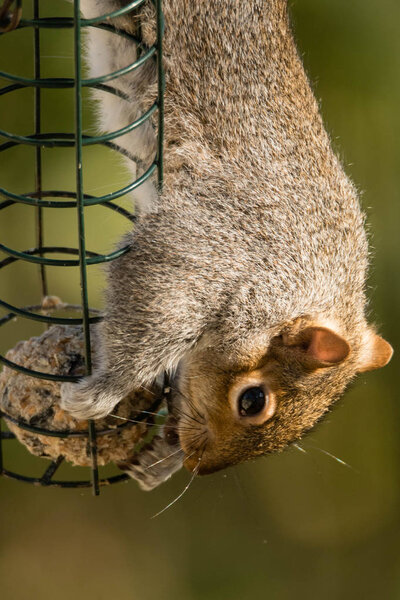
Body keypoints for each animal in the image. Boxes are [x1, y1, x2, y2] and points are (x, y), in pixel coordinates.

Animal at [60, 1, 394, 478]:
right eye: (252, 401)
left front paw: (159, 463)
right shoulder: (208, 250)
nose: (196, 466)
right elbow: (151, 314)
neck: (305, 276)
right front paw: (97, 396)